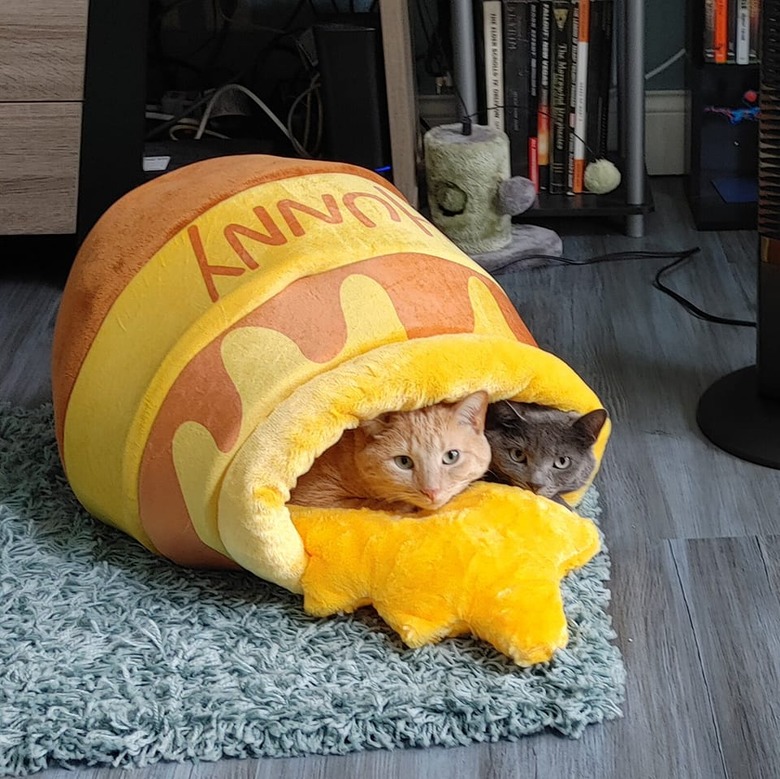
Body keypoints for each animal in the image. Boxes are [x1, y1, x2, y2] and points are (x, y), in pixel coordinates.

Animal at [290, 394, 490, 516]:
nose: (431, 492)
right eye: (404, 462)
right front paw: (400, 506)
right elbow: (362, 503)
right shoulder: (312, 497)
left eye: (451, 456)